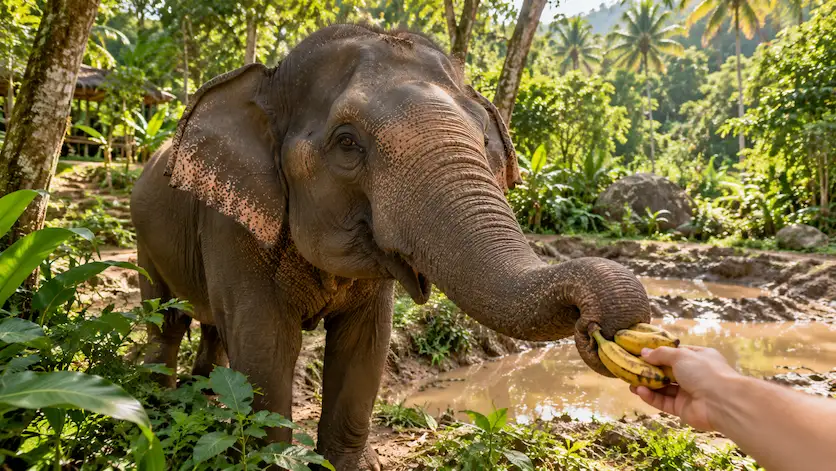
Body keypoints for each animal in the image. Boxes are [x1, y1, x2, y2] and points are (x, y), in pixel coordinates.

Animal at [130, 24, 650, 470]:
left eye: (484, 140)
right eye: (346, 142)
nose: (596, 326)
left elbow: (365, 345)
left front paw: (349, 465)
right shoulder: (232, 224)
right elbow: (266, 344)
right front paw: (272, 459)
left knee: (214, 325)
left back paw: (206, 398)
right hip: (143, 240)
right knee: (168, 318)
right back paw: (162, 403)